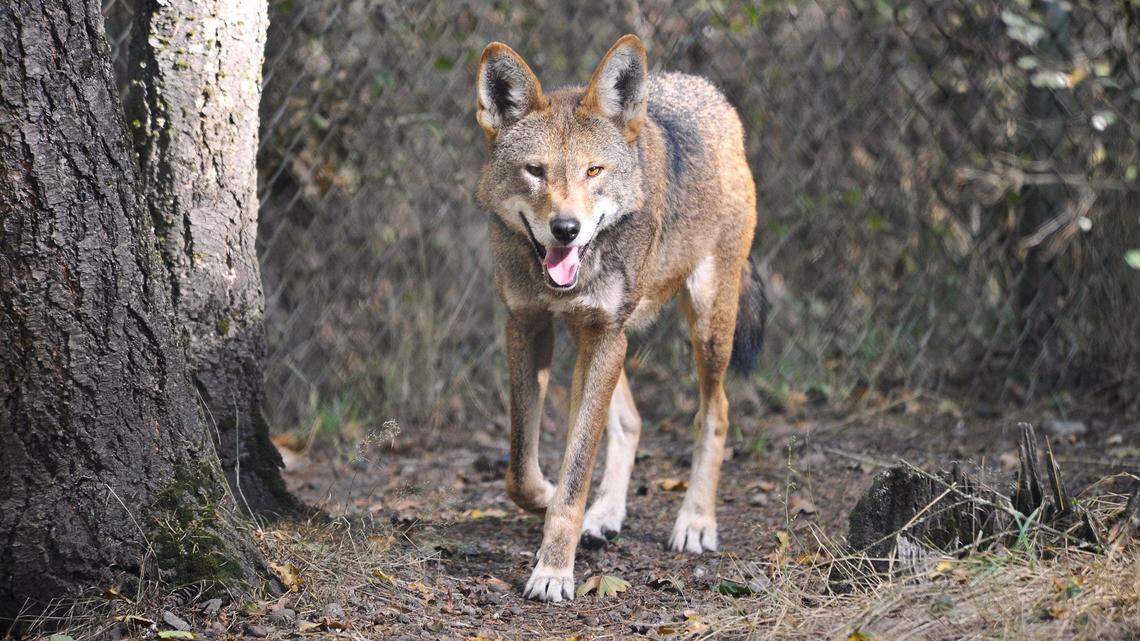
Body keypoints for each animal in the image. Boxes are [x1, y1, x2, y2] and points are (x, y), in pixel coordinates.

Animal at [474, 34, 766, 602]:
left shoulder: (603, 333)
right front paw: (549, 500)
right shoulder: (529, 325)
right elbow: (521, 468)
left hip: (703, 326)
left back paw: (695, 522)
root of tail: (709, 92)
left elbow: (576, 467)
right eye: (535, 171)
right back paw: (604, 515)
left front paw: (553, 571)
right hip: (596, 337)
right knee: (630, 420)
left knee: (716, 413)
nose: (565, 229)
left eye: (593, 171)